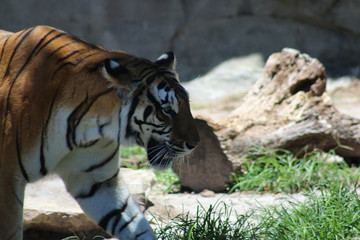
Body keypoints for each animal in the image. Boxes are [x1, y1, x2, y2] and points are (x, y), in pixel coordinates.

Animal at [0, 25, 200, 240]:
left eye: (187, 104)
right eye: (166, 111)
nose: (195, 143)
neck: (90, 128)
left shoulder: (96, 180)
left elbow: (132, 222)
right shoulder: (7, 179)